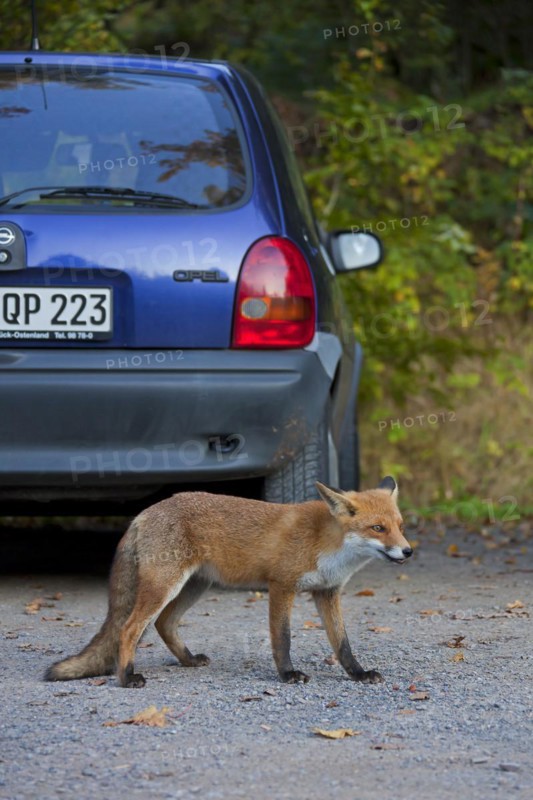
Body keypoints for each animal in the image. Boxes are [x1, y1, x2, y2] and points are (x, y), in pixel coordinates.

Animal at [45, 476, 412, 688]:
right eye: (377, 528)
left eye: (400, 526)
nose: (407, 551)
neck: (326, 542)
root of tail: (144, 513)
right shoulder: (281, 586)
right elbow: (283, 639)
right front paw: (287, 675)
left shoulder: (327, 592)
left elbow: (342, 644)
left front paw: (358, 674)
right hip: (165, 586)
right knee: (129, 628)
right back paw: (126, 677)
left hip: (193, 587)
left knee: (164, 623)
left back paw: (188, 661)